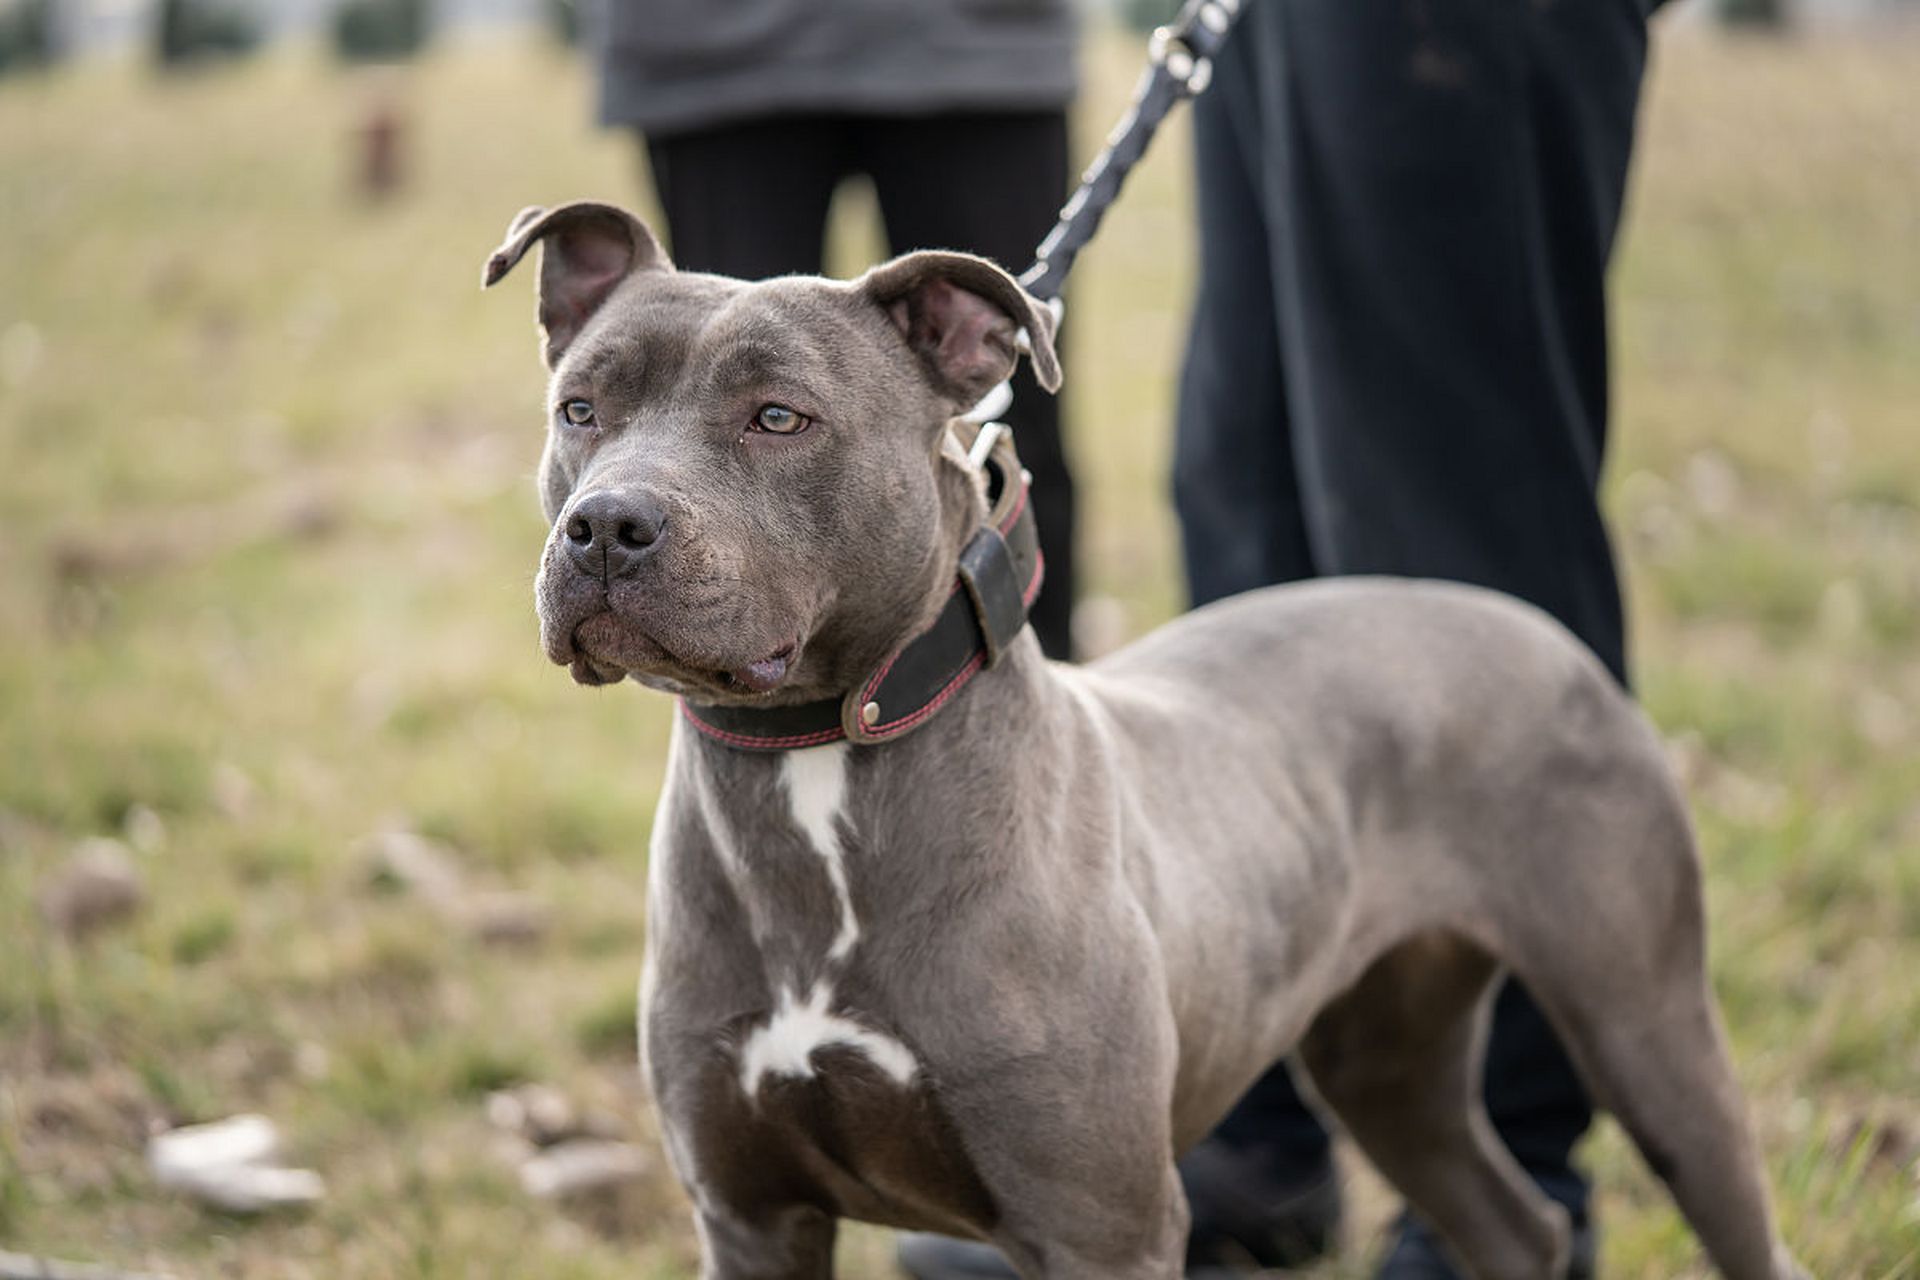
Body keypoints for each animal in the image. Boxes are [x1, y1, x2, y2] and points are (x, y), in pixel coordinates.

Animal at [487, 202, 1804, 1280]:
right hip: (1390, 1058)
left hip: (1646, 1025)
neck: (817, 767)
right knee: (1513, 1222)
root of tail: (1526, 621)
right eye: (580, 408)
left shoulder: (1101, 1226)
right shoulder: (753, 1216)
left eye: (778, 417)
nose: (604, 525)